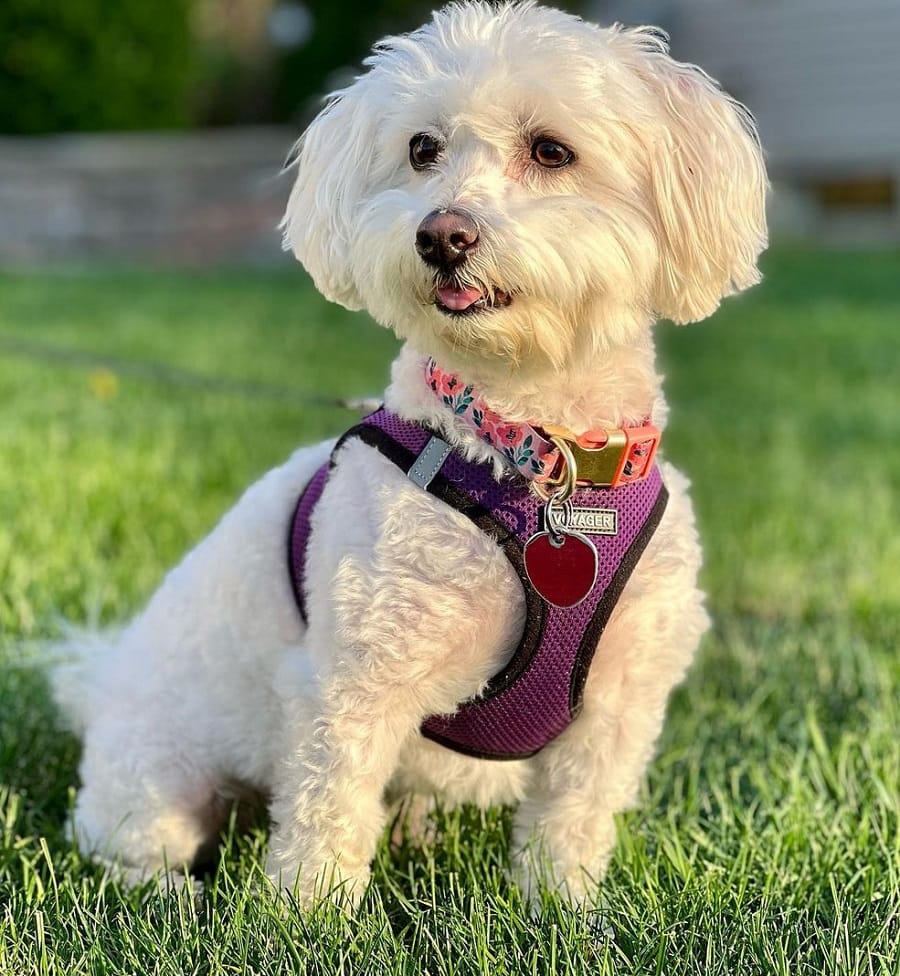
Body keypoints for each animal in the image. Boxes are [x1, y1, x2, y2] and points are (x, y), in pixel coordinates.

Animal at [52, 3, 768, 912]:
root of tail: (101, 683)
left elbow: (572, 819)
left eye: (551, 152)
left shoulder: (619, 699)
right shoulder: (353, 682)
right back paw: (175, 897)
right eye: (423, 149)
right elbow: (327, 813)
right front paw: (309, 917)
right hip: (158, 782)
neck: (529, 462)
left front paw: (562, 909)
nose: (442, 234)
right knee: (126, 849)